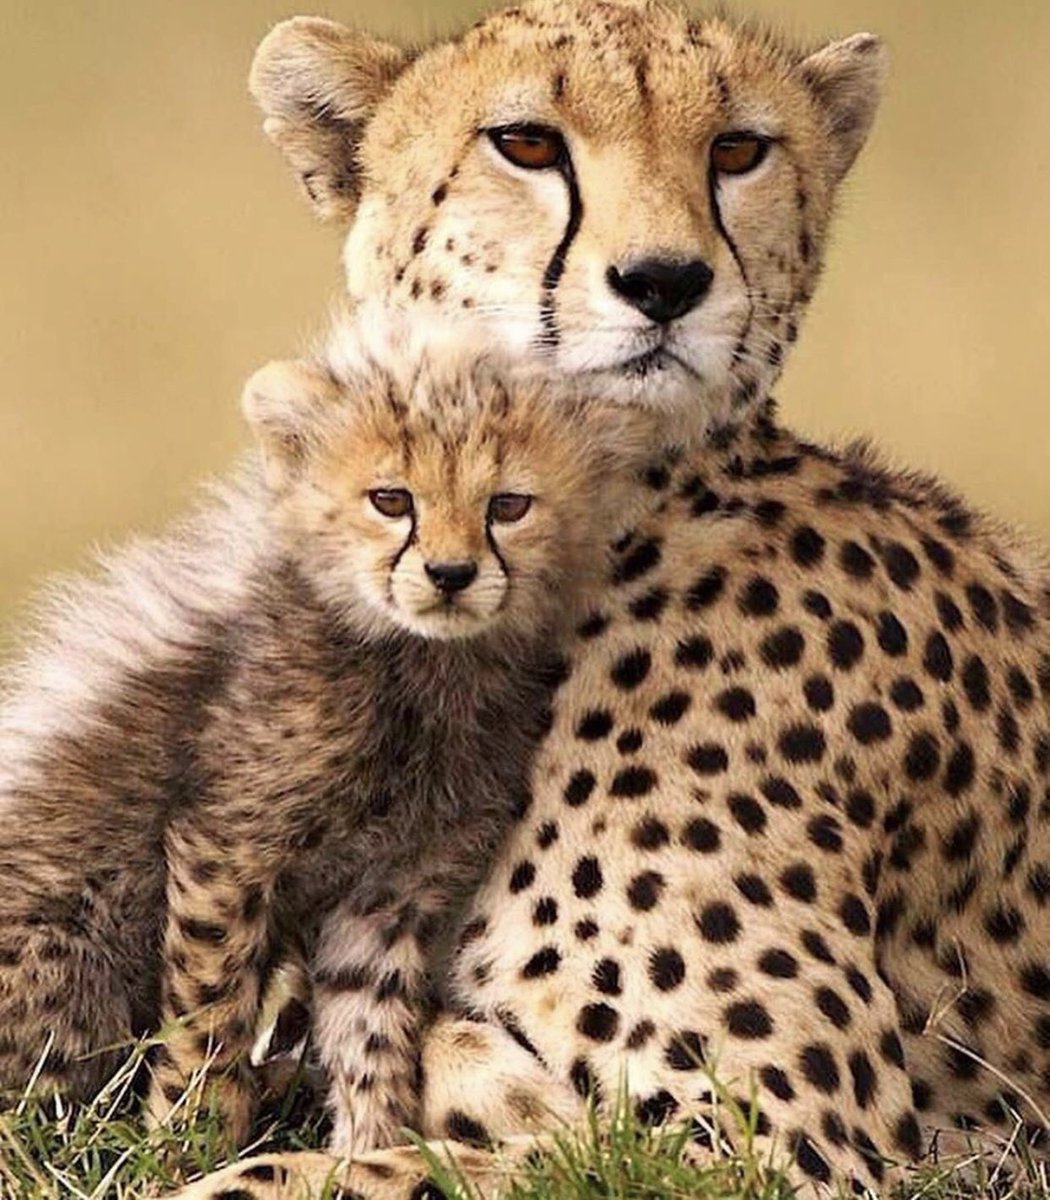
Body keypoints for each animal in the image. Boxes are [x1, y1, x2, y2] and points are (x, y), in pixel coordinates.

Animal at [0, 334, 648, 1156]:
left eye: (509, 506)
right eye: (392, 500)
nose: (450, 574)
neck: (422, 669)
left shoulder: (388, 891)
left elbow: (370, 1029)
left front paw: (370, 1146)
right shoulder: (225, 847)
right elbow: (212, 1011)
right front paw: (193, 1139)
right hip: (69, 954)